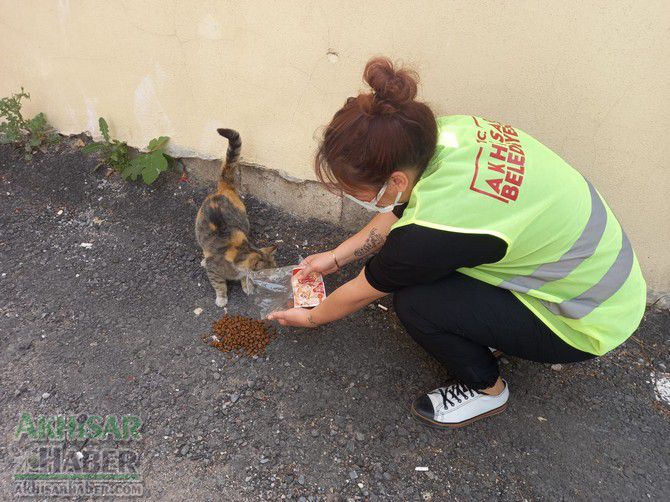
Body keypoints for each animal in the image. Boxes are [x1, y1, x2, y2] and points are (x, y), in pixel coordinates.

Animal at [196, 127, 276, 308]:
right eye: (266, 273)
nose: (274, 278)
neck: (241, 250)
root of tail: (223, 189)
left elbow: (245, 279)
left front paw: (248, 287)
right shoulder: (214, 270)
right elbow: (219, 285)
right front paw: (222, 299)